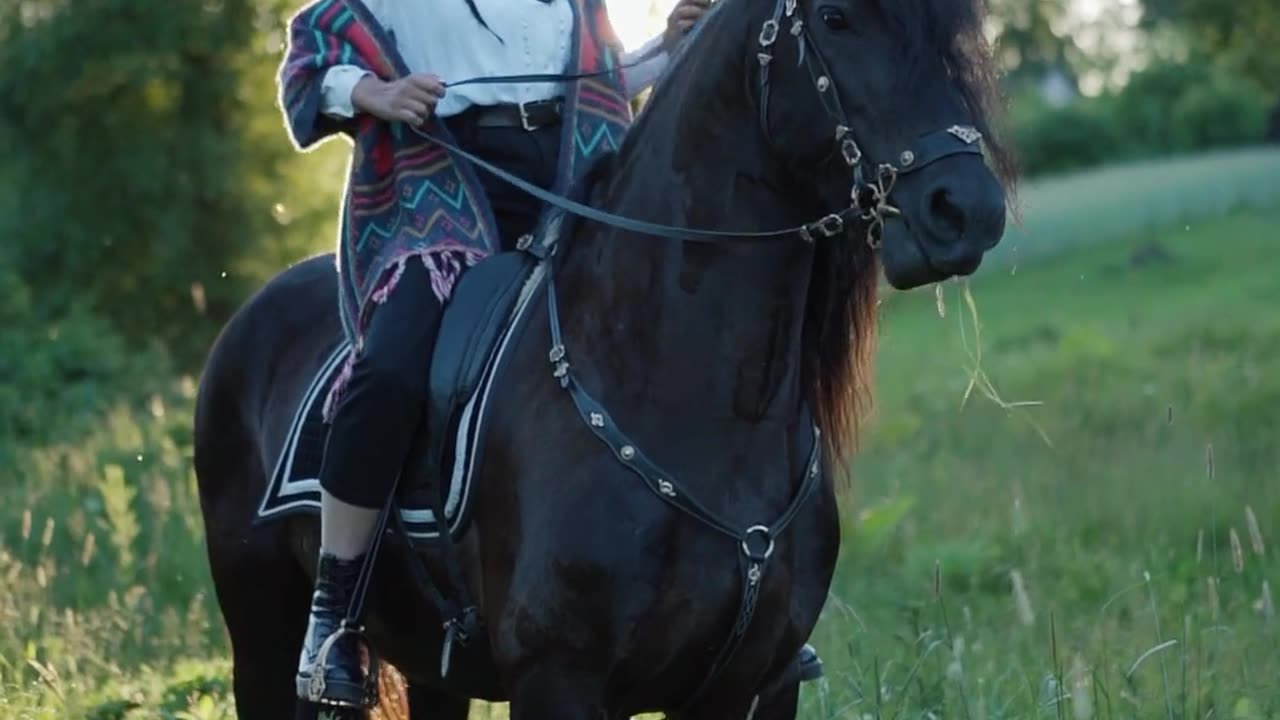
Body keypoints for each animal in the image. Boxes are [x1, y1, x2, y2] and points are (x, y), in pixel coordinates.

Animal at [194, 0, 1013, 712]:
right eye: (838, 19)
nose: (966, 210)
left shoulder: (754, 685)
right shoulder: (559, 681)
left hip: (431, 669)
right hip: (259, 639)